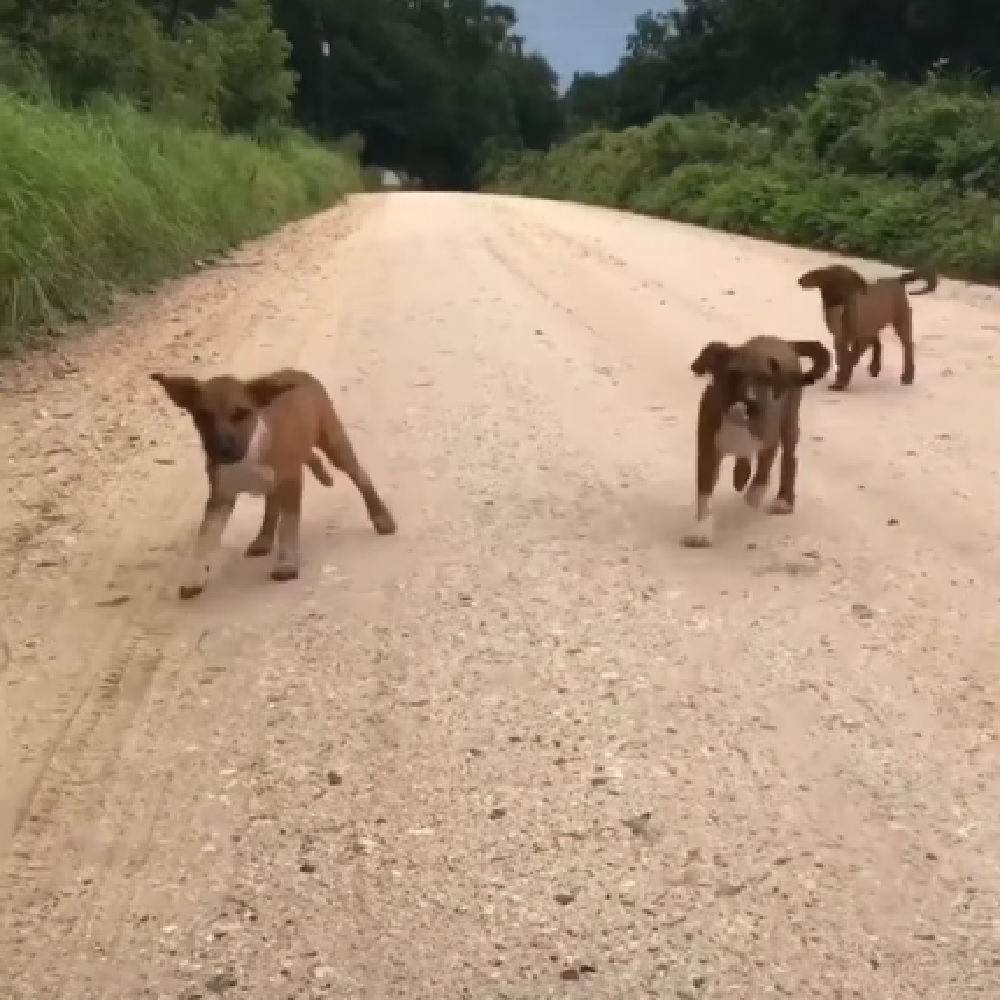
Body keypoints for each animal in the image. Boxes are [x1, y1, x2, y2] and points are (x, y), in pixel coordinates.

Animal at [150, 370, 396, 596]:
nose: (222, 450)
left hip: (334, 442)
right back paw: (264, 538)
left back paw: (381, 516)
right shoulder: (220, 496)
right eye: (202, 416)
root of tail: (298, 372)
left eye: (241, 414)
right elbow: (205, 537)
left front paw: (286, 564)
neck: (248, 455)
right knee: (272, 504)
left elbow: (288, 525)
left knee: (361, 476)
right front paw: (193, 577)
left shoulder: (290, 482)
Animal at [684, 336, 832, 548]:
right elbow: (704, 493)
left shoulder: (769, 439)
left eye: (765, 378)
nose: (751, 402)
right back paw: (741, 476)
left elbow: (763, 471)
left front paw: (753, 497)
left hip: (790, 421)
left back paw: (783, 501)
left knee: (789, 459)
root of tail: (784, 341)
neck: (738, 420)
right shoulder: (707, 450)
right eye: (733, 373)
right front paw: (700, 530)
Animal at [796, 262, 936, 390]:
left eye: (847, 281)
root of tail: (898, 280)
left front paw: (841, 382)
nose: (842, 300)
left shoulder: (859, 339)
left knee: (907, 345)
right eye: (828, 280)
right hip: (876, 326)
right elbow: (844, 357)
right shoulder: (841, 339)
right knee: (878, 343)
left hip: (901, 321)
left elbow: (849, 359)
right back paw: (875, 368)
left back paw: (907, 376)